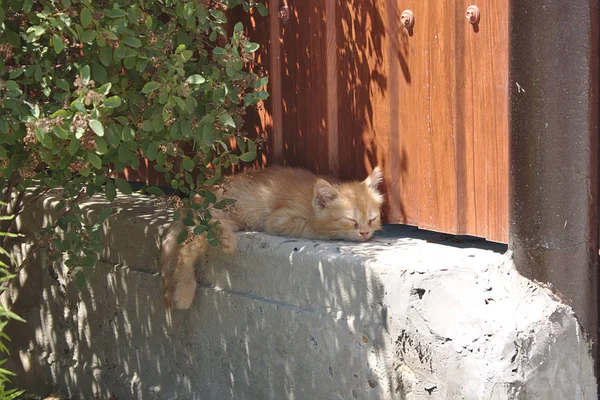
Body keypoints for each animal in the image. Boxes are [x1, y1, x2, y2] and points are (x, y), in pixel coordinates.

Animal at [161, 166, 384, 310]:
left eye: (372, 219)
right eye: (351, 220)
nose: (365, 232)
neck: (309, 202)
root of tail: (195, 198)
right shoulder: (279, 219)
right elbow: (315, 228)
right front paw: (331, 231)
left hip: (231, 218)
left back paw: (225, 238)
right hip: (210, 216)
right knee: (186, 250)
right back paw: (184, 291)